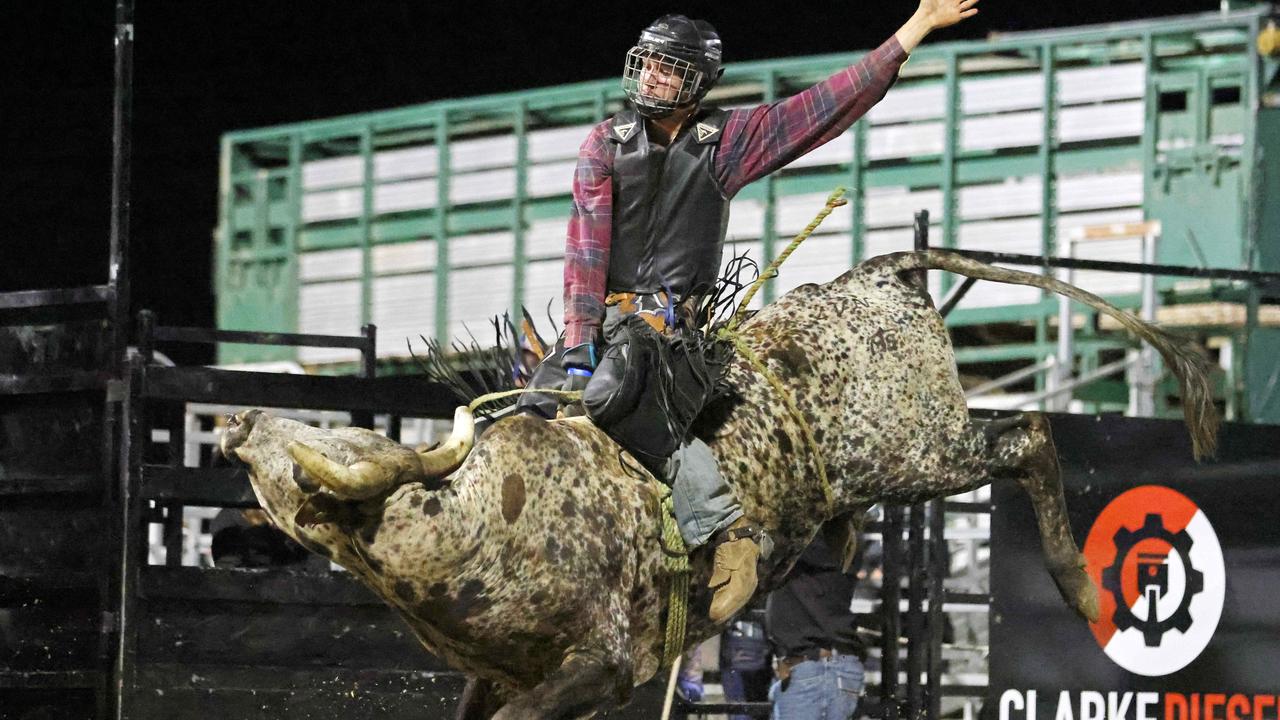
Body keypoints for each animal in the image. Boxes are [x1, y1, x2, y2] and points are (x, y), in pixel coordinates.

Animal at [220, 249, 1208, 712]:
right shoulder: (501, 678)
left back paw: (1083, 588)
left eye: (330, 440)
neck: (476, 519)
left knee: (1029, 436)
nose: (237, 422)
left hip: (920, 448)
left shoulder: (599, 665)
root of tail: (879, 275)